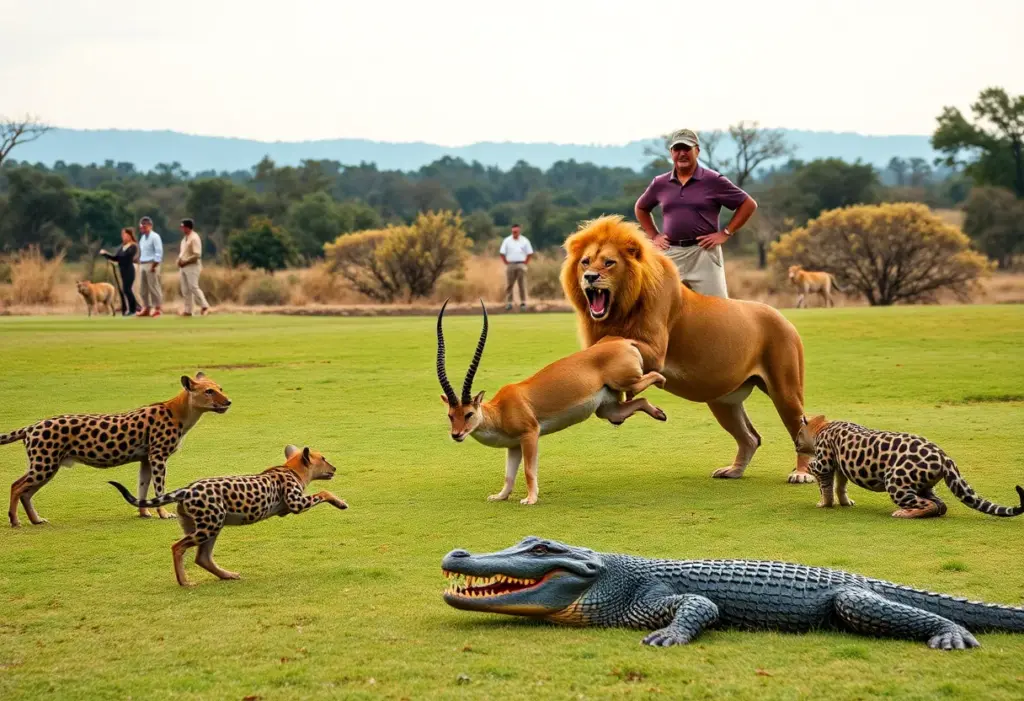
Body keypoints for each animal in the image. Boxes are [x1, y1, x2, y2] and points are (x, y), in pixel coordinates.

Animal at [559, 215, 813, 483]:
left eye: (609, 262)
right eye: (585, 262)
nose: (590, 277)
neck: (621, 308)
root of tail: (783, 318)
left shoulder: (656, 351)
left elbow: (613, 341)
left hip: (785, 392)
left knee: (800, 431)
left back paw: (800, 473)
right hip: (723, 400)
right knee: (751, 438)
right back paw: (733, 471)